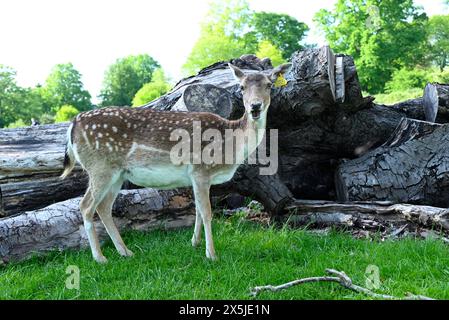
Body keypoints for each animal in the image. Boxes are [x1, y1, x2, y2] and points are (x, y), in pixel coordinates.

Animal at [60, 62, 290, 262]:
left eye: (269, 85)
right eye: (241, 87)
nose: (255, 106)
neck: (231, 146)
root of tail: (73, 124)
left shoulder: (195, 176)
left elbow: (197, 210)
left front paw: (194, 243)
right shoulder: (201, 170)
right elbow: (207, 212)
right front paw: (212, 255)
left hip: (117, 173)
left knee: (104, 207)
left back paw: (126, 252)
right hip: (99, 167)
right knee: (85, 206)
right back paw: (100, 258)